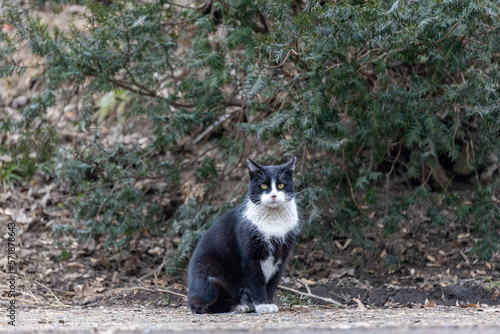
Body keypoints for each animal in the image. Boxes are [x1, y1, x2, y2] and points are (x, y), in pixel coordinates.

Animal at [187, 157, 296, 314]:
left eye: (281, 185)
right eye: (263, 186)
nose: (273, 195)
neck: (273, 219)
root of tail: (192, 294)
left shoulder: (282, 256)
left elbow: (272, 283)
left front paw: (269, 302)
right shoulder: (249, 255)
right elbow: (256, 282)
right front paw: (262, 305)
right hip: (214, 269)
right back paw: (239, 306)